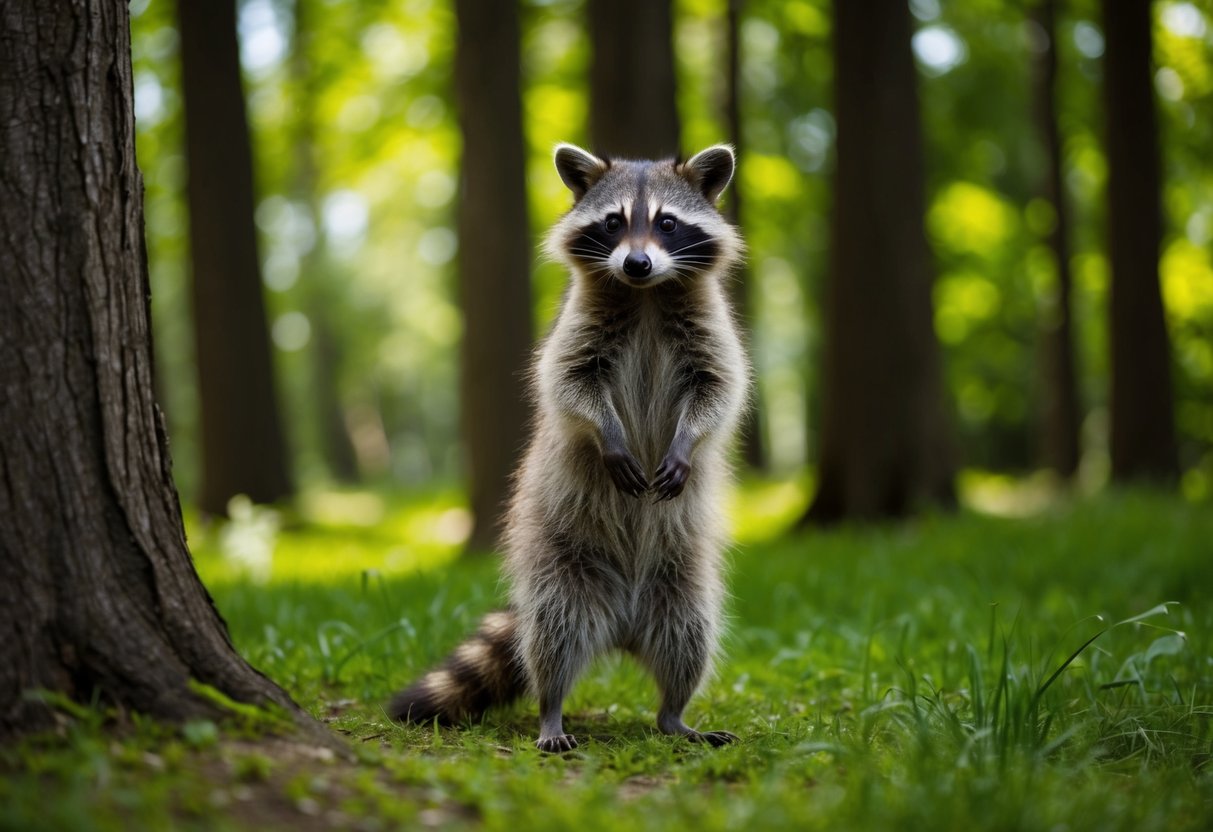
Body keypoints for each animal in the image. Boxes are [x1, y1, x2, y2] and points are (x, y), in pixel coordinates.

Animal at [389, 143, 749, 752]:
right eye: (612, 223)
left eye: (667, 223)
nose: (636, 264)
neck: (645, 295)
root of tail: (622, 627)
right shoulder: (576, 328)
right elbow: (568, 384)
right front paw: (608, 435)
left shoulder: (710, 328)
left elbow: (720, 389)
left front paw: (685, 441)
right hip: (560, 568)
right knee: (552, 638)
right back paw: (551, 710)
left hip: (681, 584)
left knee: (690, 639)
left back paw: (674, 713)